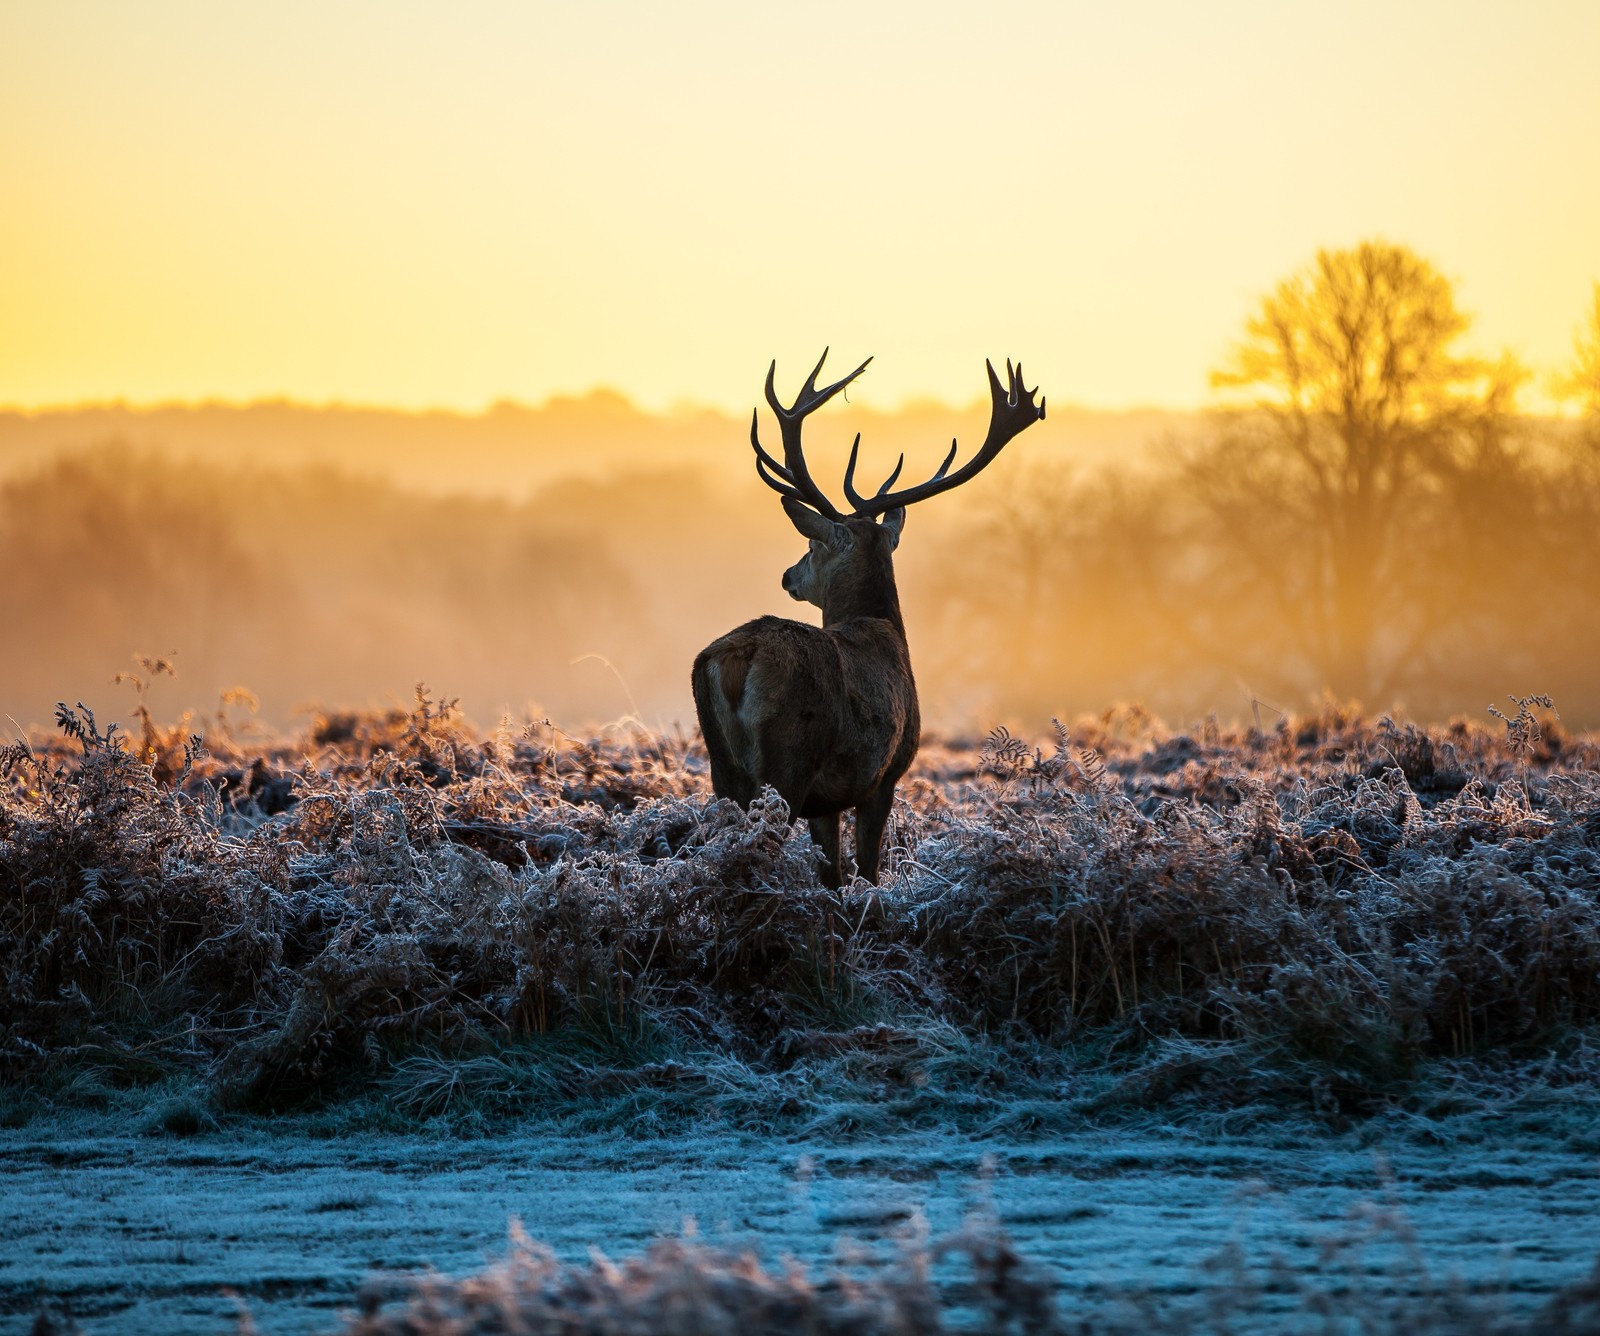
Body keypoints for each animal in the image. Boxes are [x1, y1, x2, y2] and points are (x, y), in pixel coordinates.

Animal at [691, 350, 1043, 883]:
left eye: (812, 544)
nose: (788, 576)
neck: (883, 627)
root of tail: (738, 657)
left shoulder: (828, 801)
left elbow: (833, 878)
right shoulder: (884, 776)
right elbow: (868, 871)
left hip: (723, 770)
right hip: (788, 761)